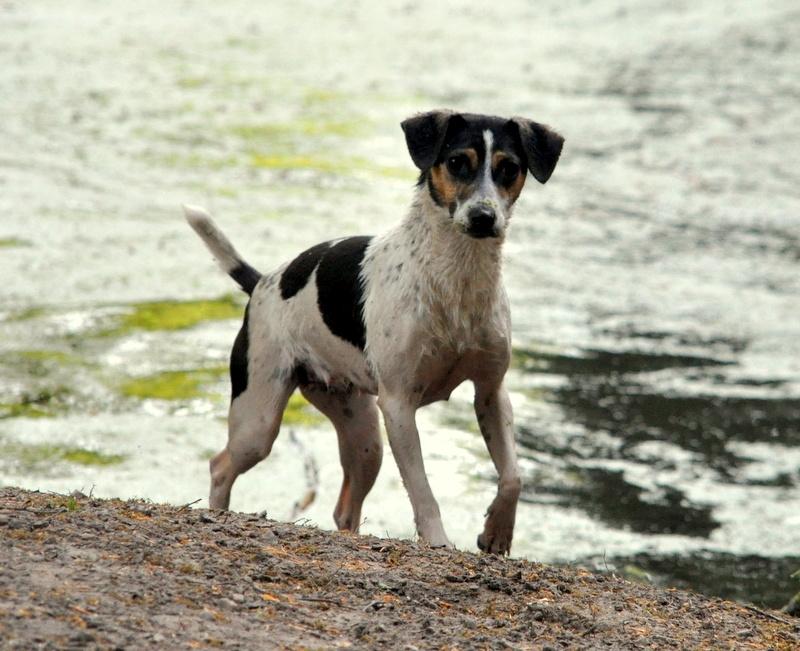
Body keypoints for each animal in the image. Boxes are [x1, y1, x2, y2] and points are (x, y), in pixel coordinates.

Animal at [186, 112, 564, 556]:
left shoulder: (491, 391)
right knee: (220, 465)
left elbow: (513, 476)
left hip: (365, 438)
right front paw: (439, 541)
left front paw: (496, 531)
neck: (456, 280)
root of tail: (262, 282)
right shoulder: (399, 406)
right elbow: (422, 491)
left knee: (344, 508)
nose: (483, 217)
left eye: (509, 168)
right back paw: (218, 511)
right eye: (457, 162)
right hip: (258, 422)